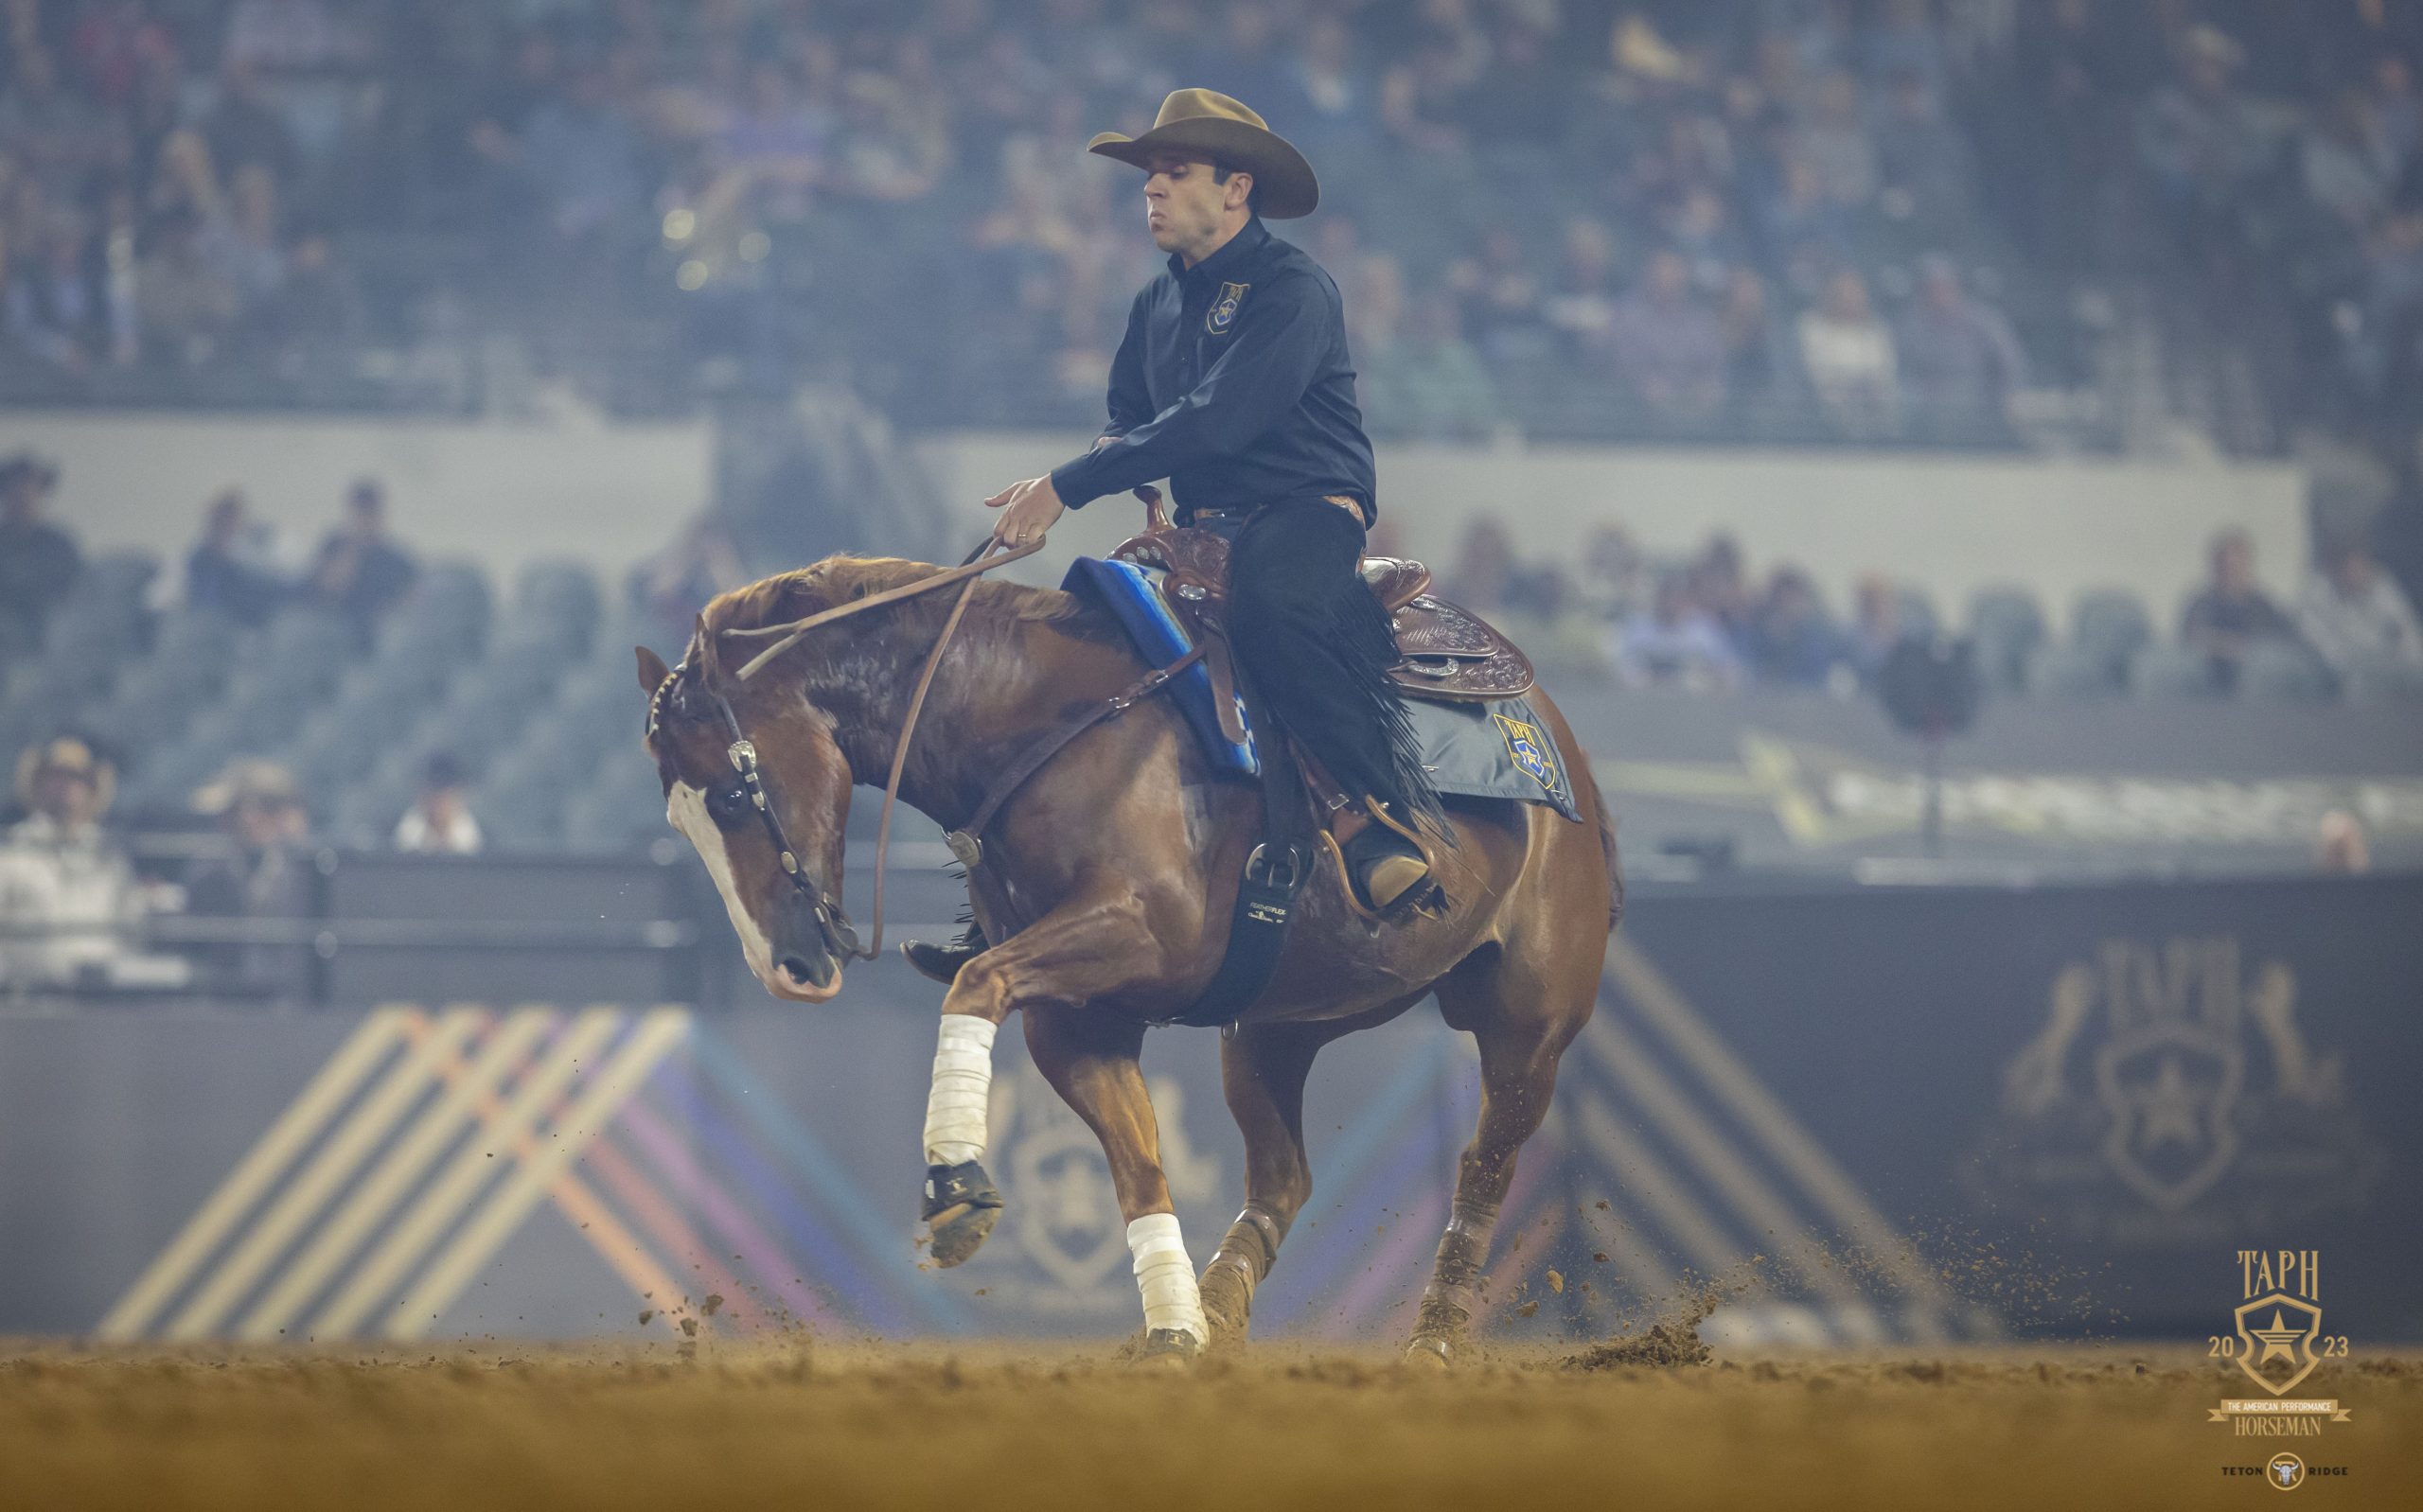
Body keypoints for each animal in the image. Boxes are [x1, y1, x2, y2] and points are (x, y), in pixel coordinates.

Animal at [644, 550, 1618, 1366]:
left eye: (731, 794)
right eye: (678, 819)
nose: (787, 967)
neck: (1050, 721)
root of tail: (1557, 744)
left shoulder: (1135, 933)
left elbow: (976, 983)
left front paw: (954, 1179)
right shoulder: (1078, 1020)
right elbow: (1140, 1165)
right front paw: (1175, 1331)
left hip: (1528, 1027)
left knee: (1484, 1167)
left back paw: (1436, 1341)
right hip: (1275, 1025)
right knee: (1282, 1179)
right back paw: (1221, 1307)